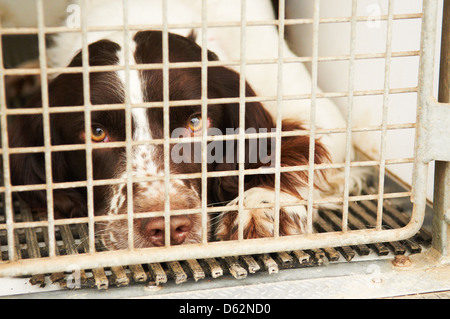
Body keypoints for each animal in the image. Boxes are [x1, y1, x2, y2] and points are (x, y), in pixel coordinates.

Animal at [7, 0, 362, 250]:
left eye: (195, 122)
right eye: (97, 133)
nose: (166, 227)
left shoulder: (321, 110)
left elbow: (298, 153)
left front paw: (260, 206)